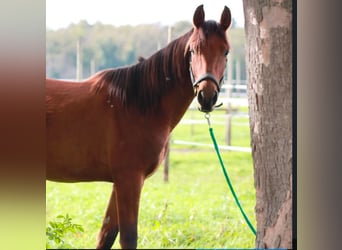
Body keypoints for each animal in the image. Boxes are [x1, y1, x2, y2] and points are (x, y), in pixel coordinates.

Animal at [45, 4, 231, 249]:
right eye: (192, 51)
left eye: (226, 52)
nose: (206, 96)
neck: (137, 104)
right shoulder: (129, 180)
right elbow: (128, 237)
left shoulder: (119, 183)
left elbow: (106, 235)